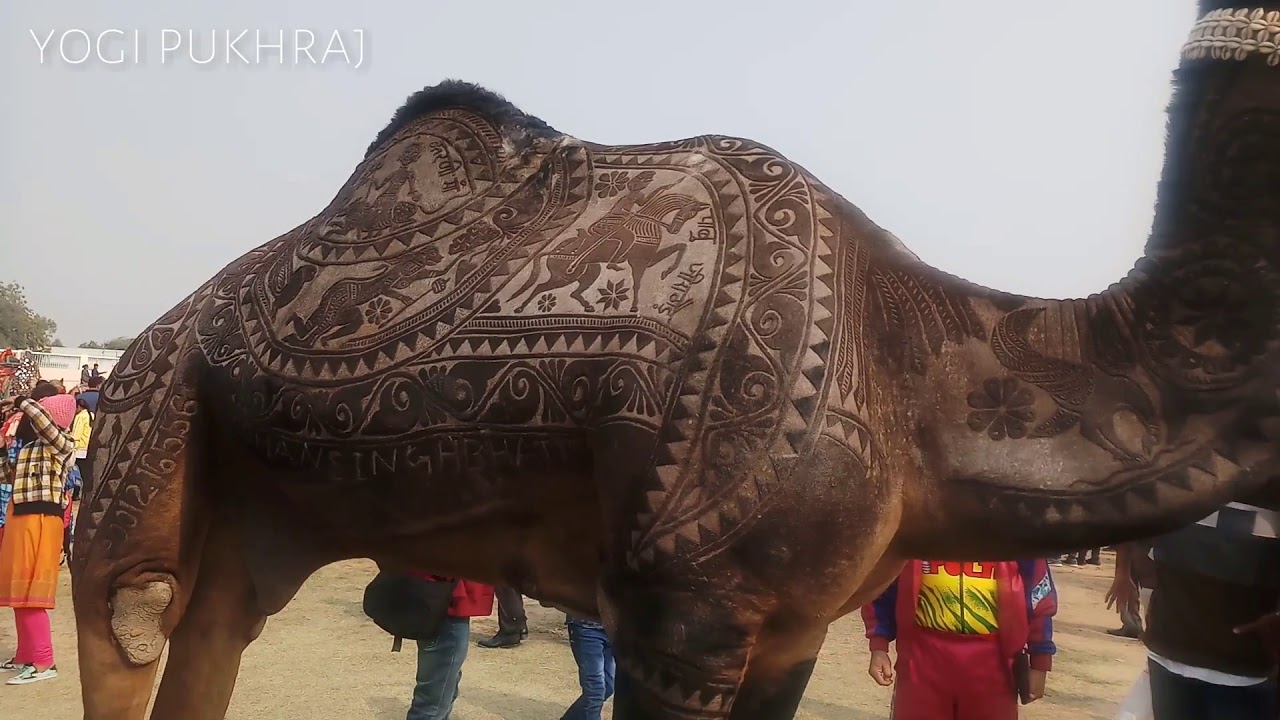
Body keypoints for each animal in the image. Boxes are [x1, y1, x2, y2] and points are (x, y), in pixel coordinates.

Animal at [69, 4, 1280, 718]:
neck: (907, 358)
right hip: (146, 412)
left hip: (249, 509)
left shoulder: (792, 625)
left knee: (213, 624)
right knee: (133, 604)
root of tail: (143, 343)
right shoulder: (685, 603)